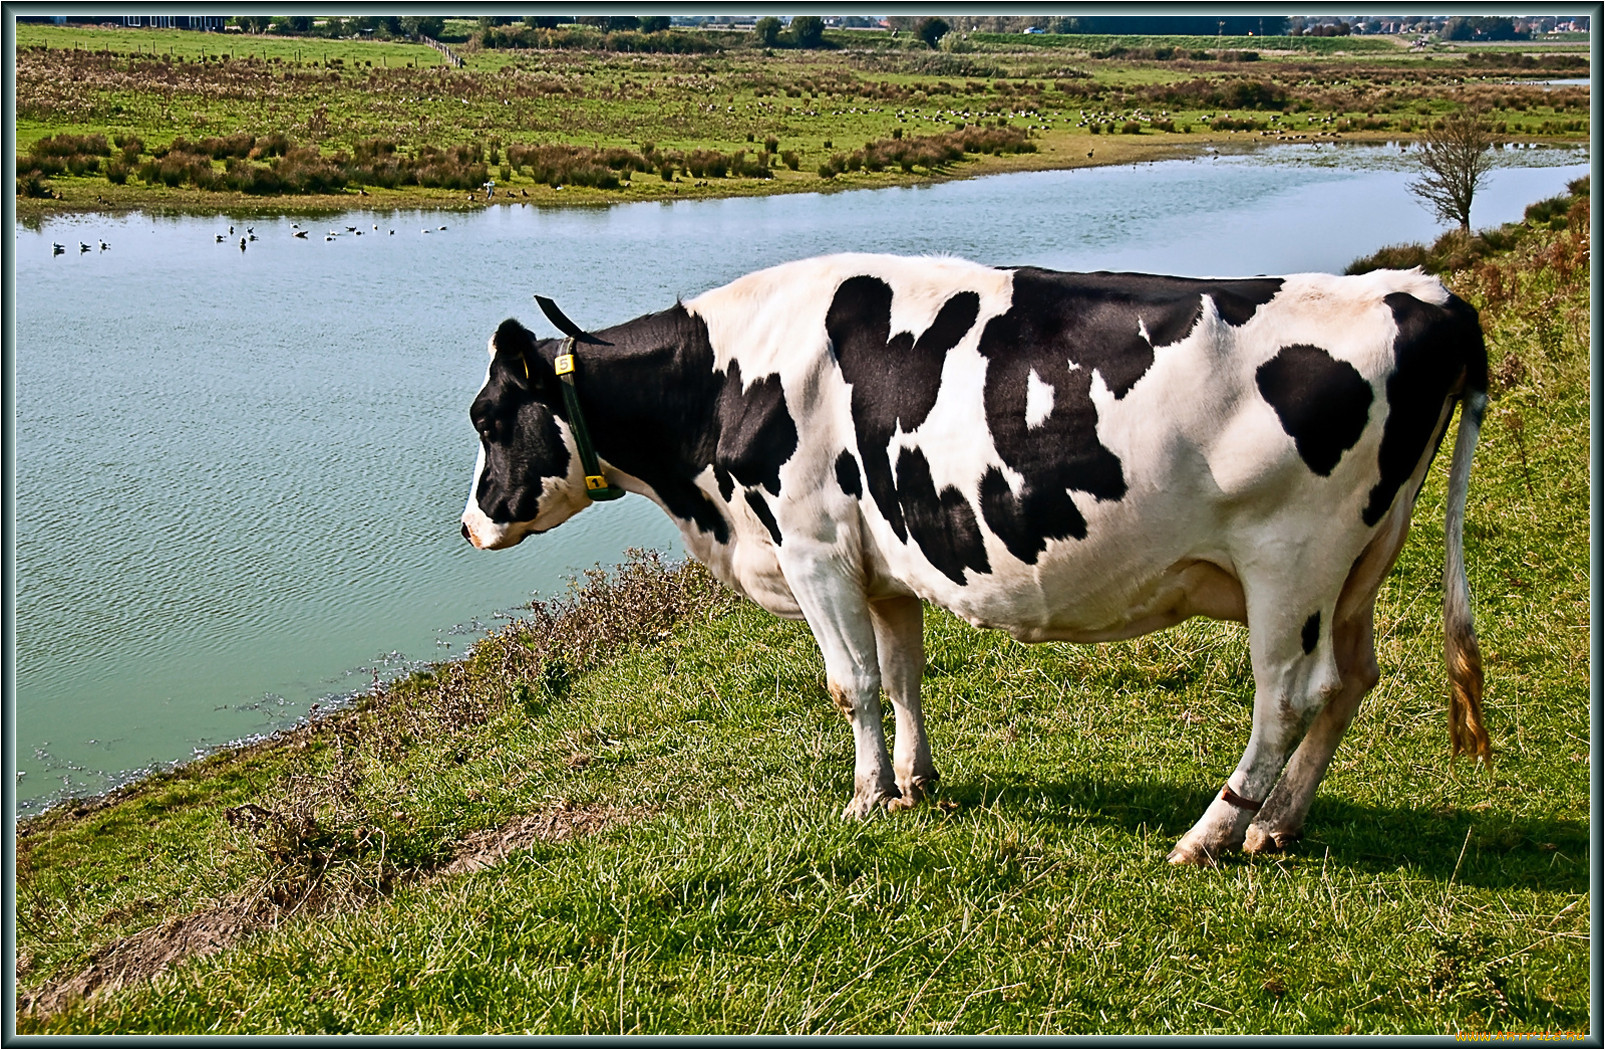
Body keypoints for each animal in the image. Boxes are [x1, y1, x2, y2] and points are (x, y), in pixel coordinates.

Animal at [459, 253, 1483, 866]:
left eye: (485, 419)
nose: (469, 527)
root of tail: (1426, 293)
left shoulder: (813, 548)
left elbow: (851, 685)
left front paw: (864, 798)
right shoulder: (882, 566)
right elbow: (903, 676)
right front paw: (915, 785)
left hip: (1289, 561)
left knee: (1288, 699)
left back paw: (1211, 831)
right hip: (1361, 562)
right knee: (1352, 681)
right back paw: (1276, 824)